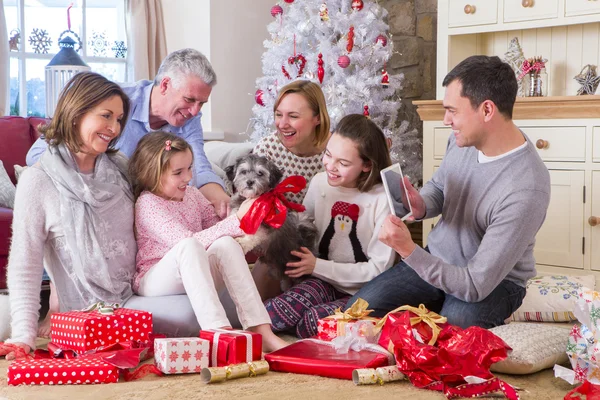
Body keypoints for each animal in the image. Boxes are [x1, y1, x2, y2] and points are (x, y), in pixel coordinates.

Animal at [225, 153, 318, 288]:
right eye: (244, 171)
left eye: (260, 173)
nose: (250, 182)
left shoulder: (265, 227)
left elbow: (253, 235)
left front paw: (243, 242)